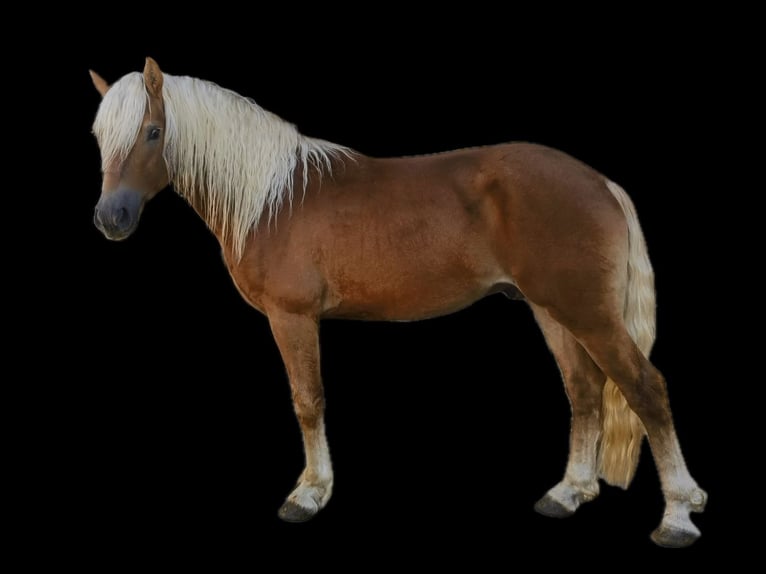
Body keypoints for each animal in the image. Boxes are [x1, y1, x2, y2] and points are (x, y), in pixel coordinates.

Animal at [88, 57, 706, 547]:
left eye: (152, 131)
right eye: (98, 137)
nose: (110, 219)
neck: (271, 198)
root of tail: (600, 182)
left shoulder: (293, 318)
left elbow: (308, 401)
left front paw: (309, 494)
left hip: (588, 314)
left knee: (644, 388)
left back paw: (677, 515)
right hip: (551, 312)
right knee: (584, 392)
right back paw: (568, 493)